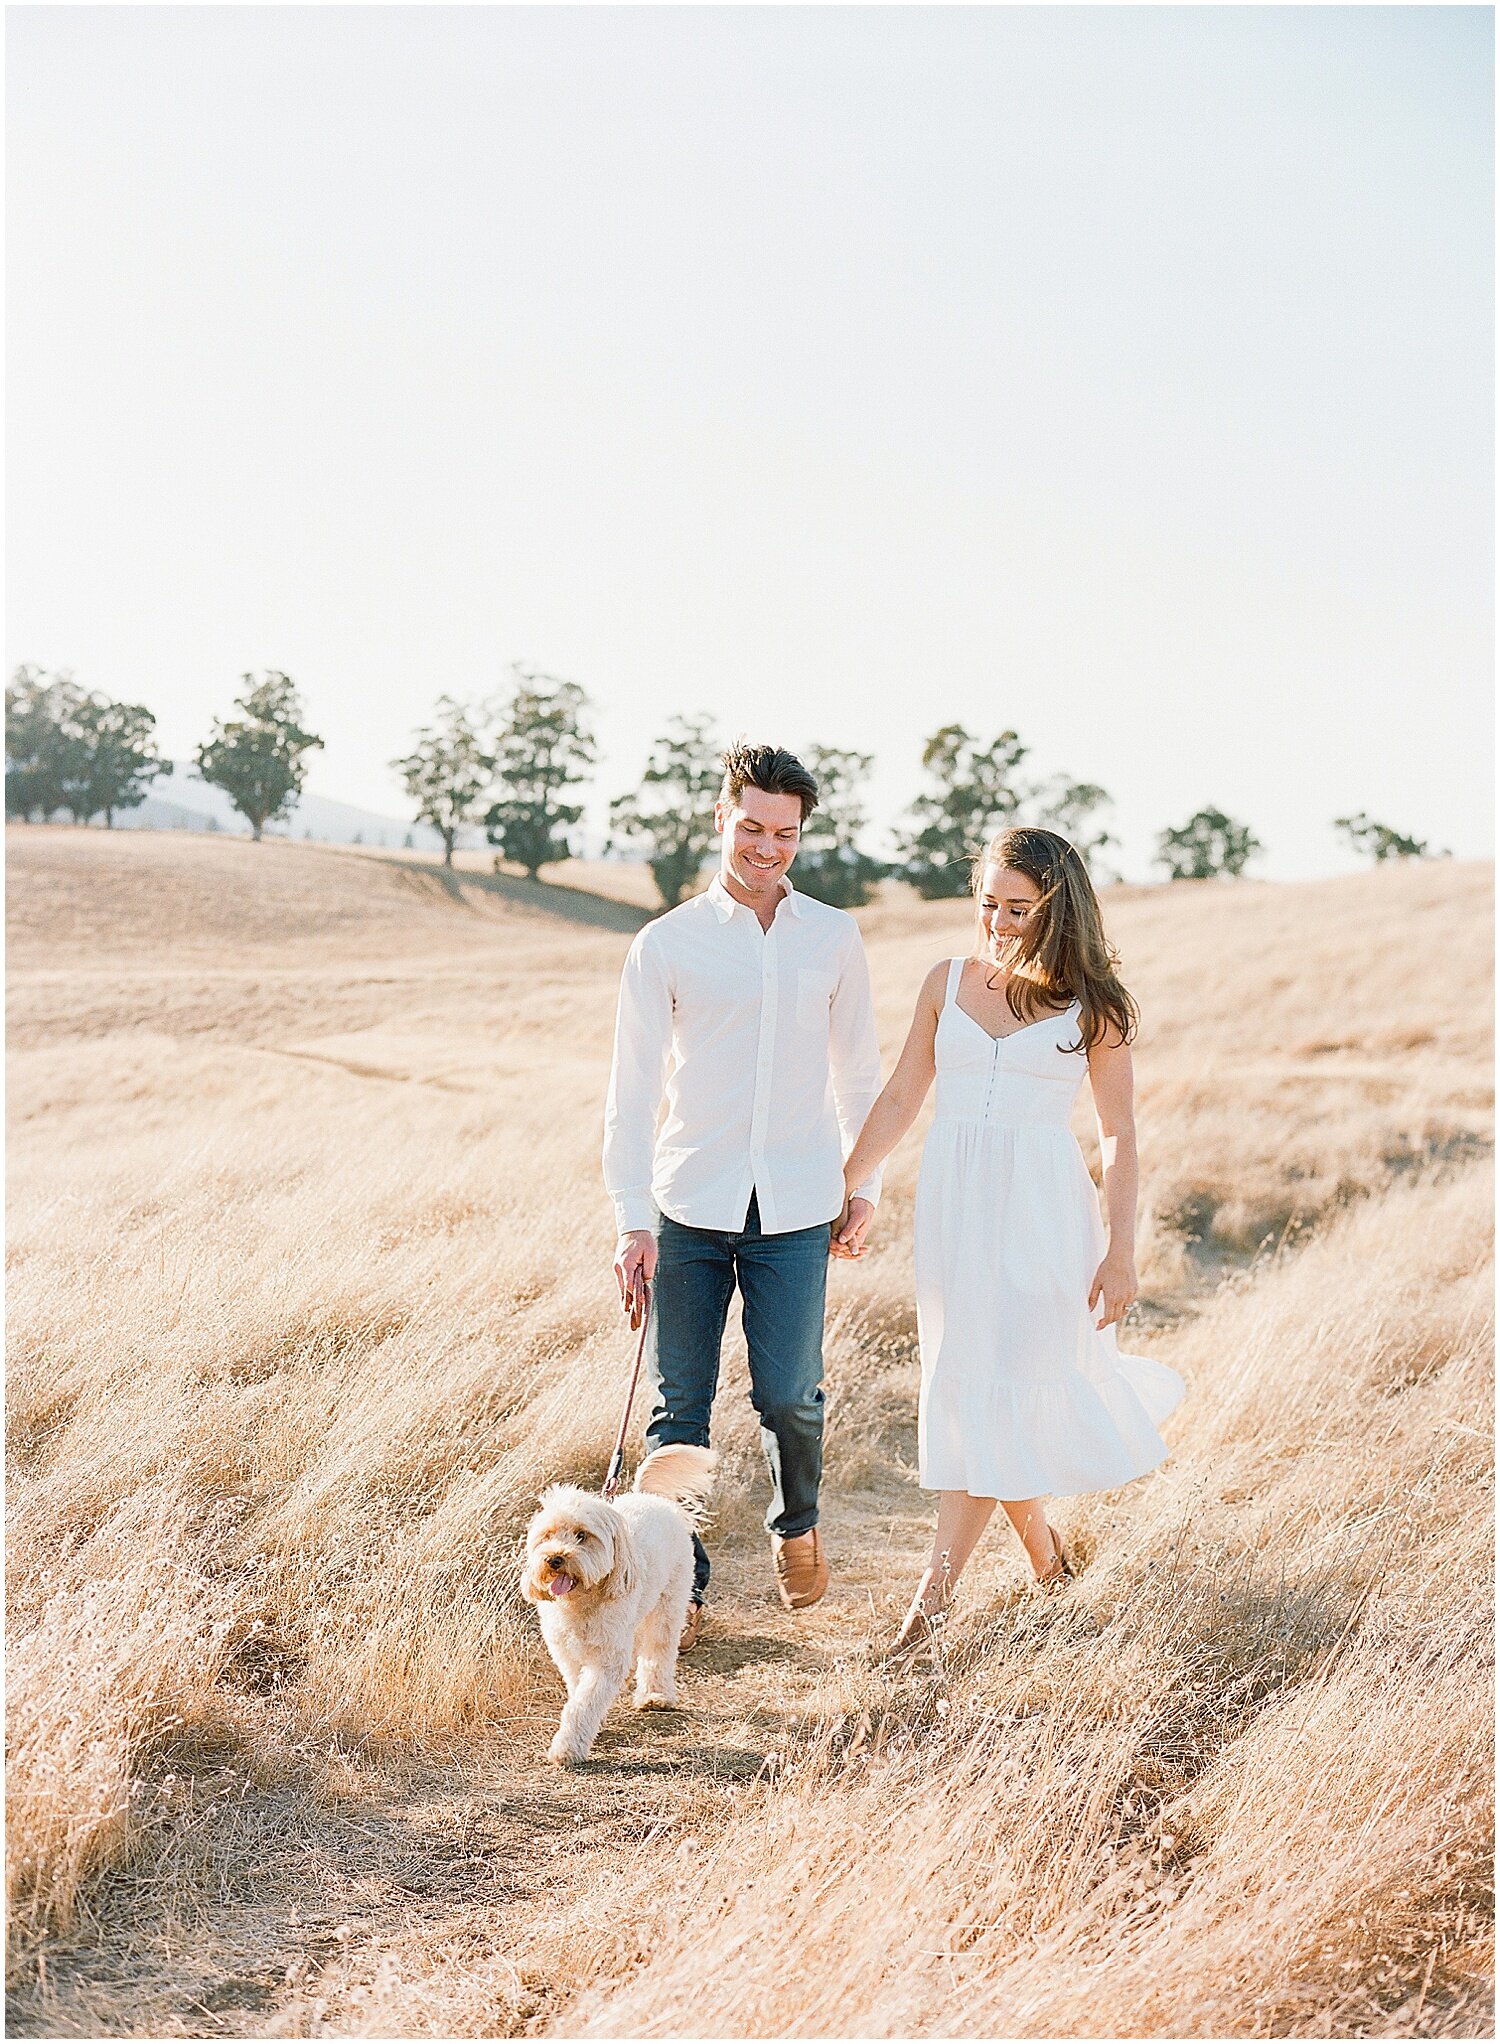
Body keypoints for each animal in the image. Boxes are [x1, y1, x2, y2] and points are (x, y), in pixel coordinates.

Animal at [519, 1447, 719, 1766]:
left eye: (581, 1535)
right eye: (548, 1535)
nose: (555, 1559)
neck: (582, 1602)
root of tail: (649, 1497)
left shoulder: (607, 1660)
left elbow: (583, 1704)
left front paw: (568, 1748)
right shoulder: (567, 1654)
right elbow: (577, 1690)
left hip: (668, 1607)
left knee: (658, 1652)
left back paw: (656, 1695)